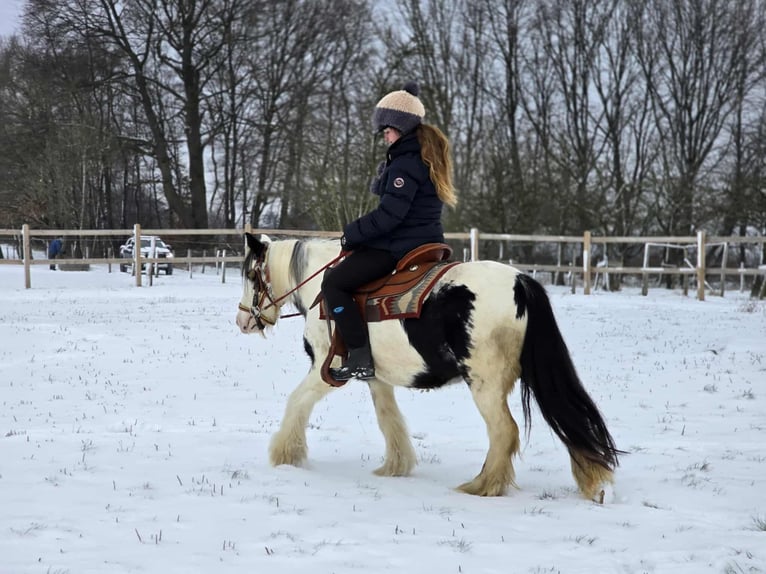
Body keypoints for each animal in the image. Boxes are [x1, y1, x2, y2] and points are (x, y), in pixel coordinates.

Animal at [235, 233, 621, 500]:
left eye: (252, 276)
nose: (243, 321)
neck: (320, 291)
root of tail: (520, 282)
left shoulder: (325, 372)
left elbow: (296, 403)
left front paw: (285, 454)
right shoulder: (375, 377)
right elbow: (389, 419)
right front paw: (396, 465)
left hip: (485, 384)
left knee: (504, 431)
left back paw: (483, 485)